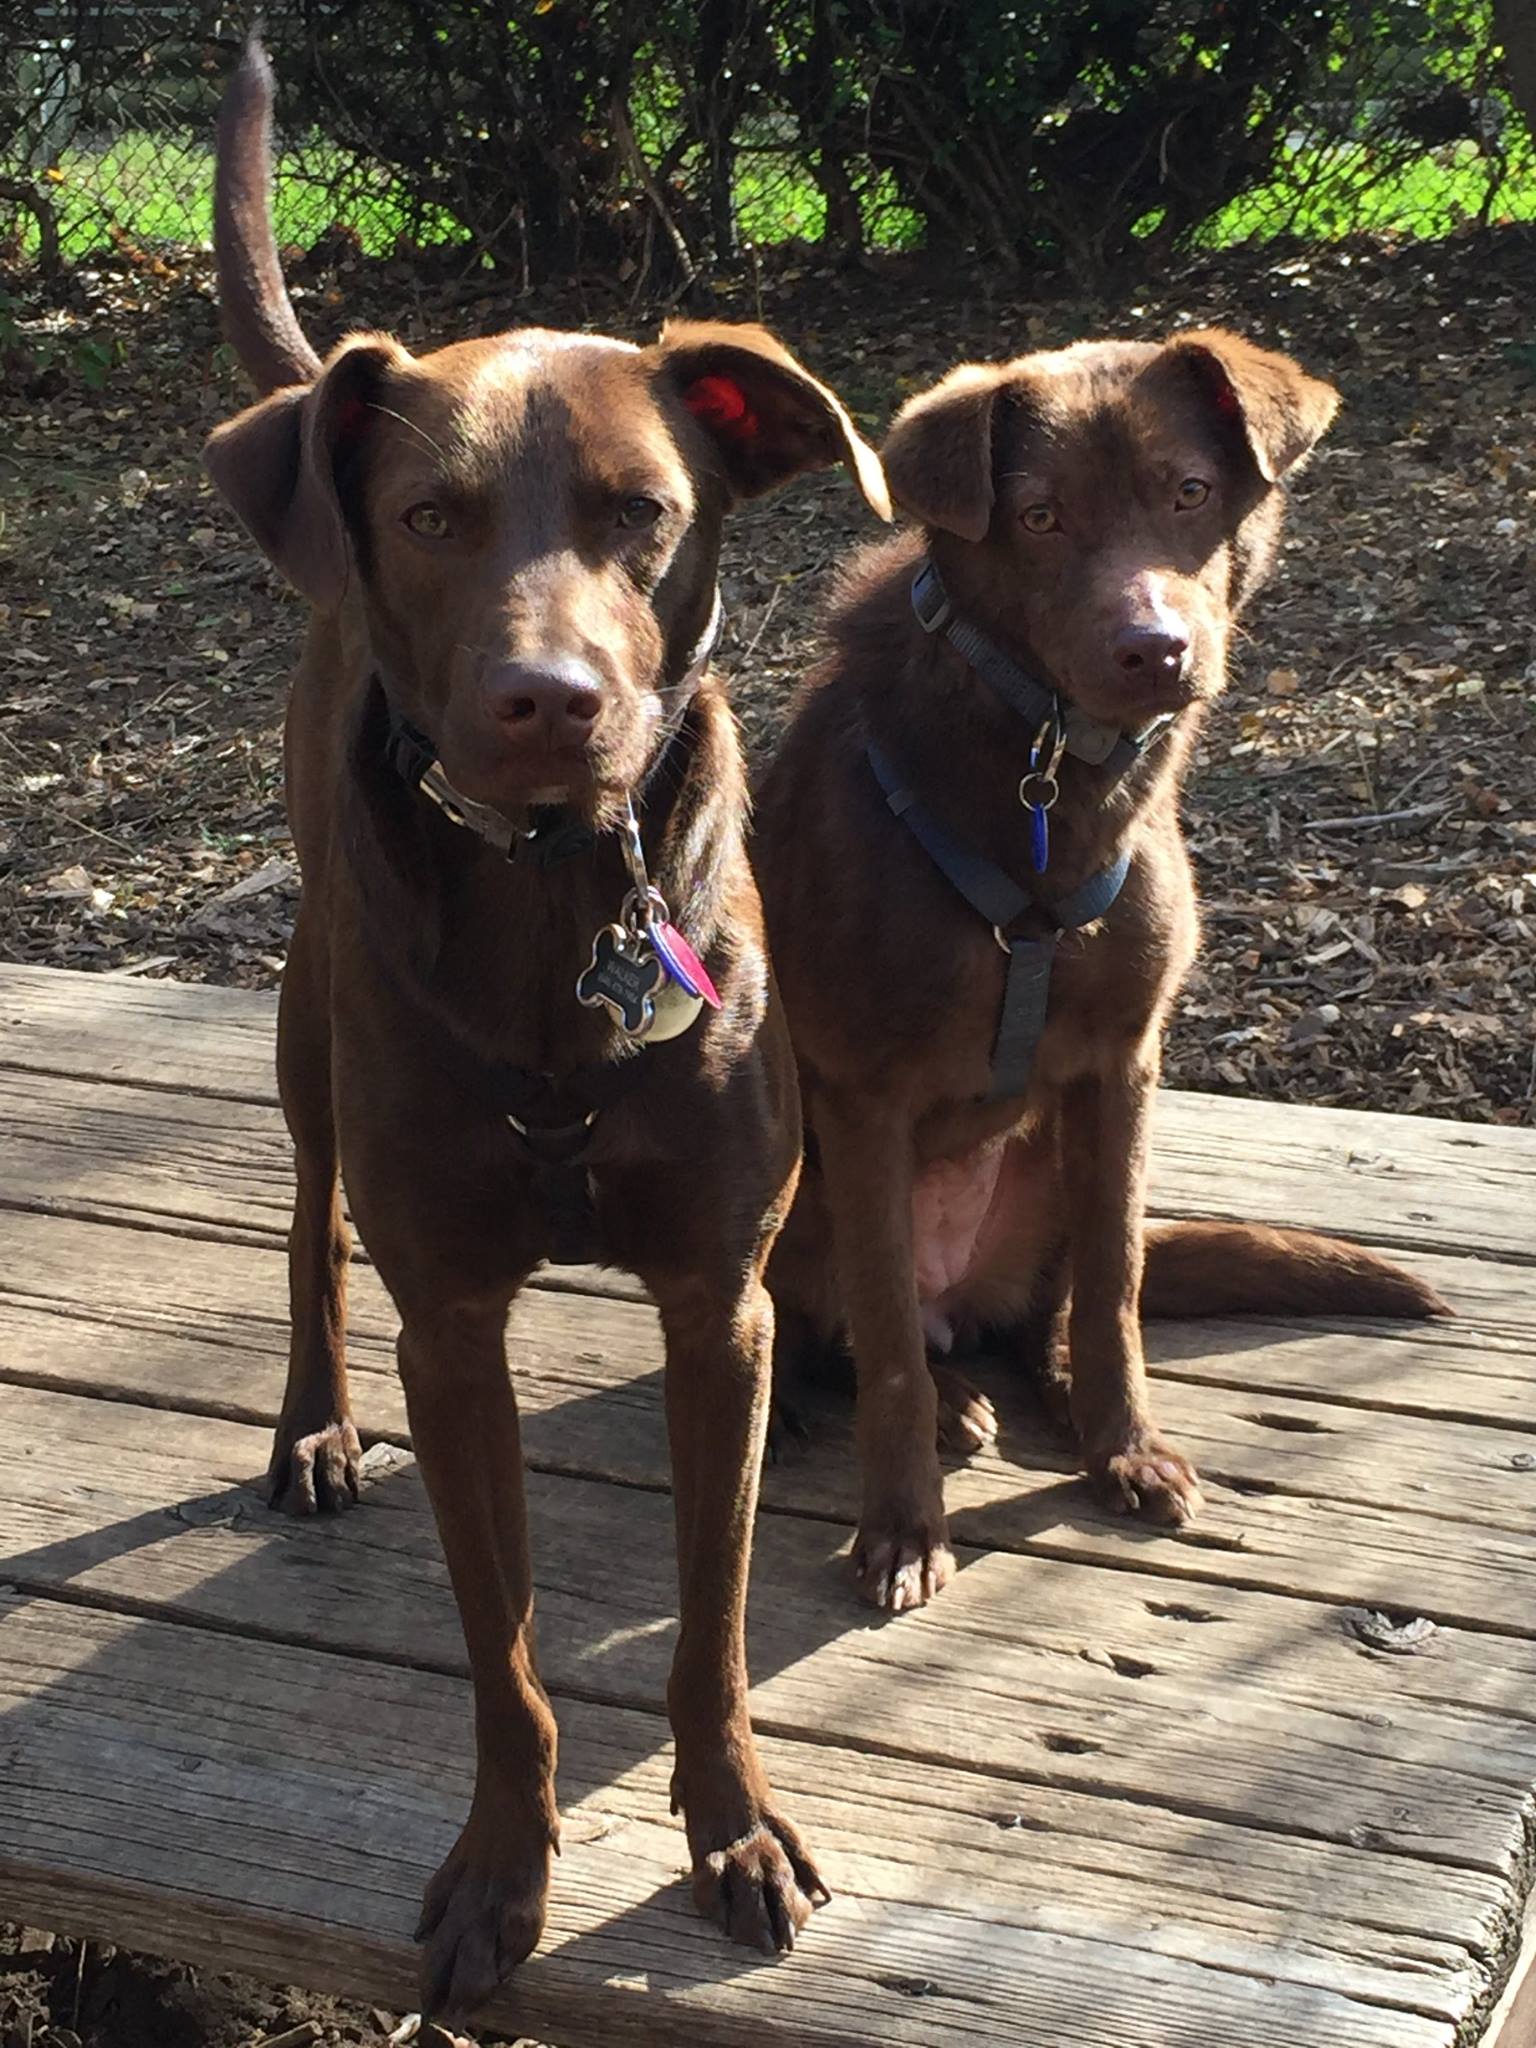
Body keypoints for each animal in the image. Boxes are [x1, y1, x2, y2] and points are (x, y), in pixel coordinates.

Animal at [201, 39, 888, 2023]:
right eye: (433, 519)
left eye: (641, 511)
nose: (546, 702)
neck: (557, 894)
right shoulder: (452, 1322)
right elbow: (500, 1655)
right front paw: (502, 1871)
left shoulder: (721, 1304)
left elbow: (710, 1622)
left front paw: (734, 1831)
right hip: (309, 1031)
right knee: (305, 1227)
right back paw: (313, 1427)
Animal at [765, 331, 1449, 1613]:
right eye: (1037, 516)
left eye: (1189, 491)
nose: (1155, 649)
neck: (1047, 777)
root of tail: (961, 1300)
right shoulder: (865, 1098)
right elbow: (883, 1343)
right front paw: (902, 1526)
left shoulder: (1124, 1067)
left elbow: (1120, 1288)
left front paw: (1122, 1445)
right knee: (845, 1333)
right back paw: (901, 1404)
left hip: (1058, 1165)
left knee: (1055, 1309)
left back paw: (1049, 1394)